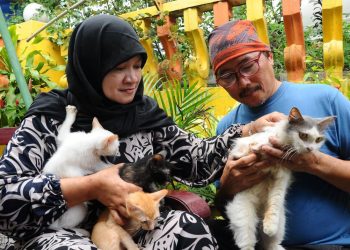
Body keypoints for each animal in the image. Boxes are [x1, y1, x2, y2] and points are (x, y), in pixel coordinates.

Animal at [227, 107, 334, 250]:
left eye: (318, 139)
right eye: (303, 135)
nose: (310, 149)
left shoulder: (280, 180)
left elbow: (274, 206)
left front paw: (269, 227)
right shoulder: (243, 146)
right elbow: (252, 147)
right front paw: (258, 148)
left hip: (281, 223)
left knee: (271, 243)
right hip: (243, 217)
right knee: (247, 244)